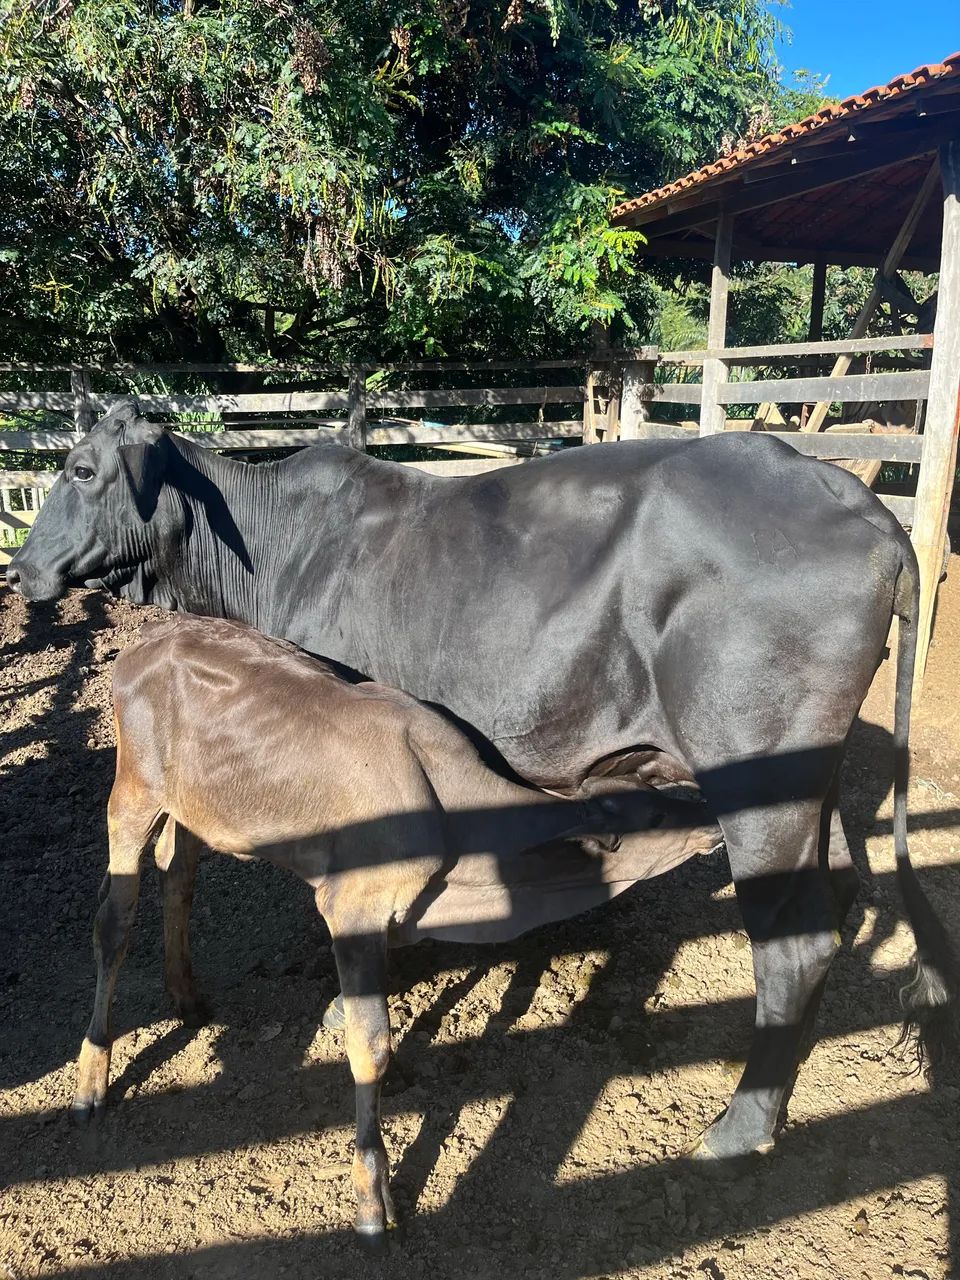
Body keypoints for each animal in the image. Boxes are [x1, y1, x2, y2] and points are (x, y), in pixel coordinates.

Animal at [8, 400, 956, 1165]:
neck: (267, 554)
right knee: (838, 903)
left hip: (757, 783)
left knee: (792, 947)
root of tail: (861, 505)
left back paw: (739, 1128)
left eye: (83, 470)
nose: (20, 570)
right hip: (812, 791)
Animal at [77, 614, 720, 1240]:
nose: (716, 820)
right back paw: (92, 1078)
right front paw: (372, 1195)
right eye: (654, 814)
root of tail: (152, 636)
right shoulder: (349, 907)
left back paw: (185, 994)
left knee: (178, 875)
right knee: (114, 919)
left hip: (194, 807)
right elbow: (371, 1046)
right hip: (133, 793)